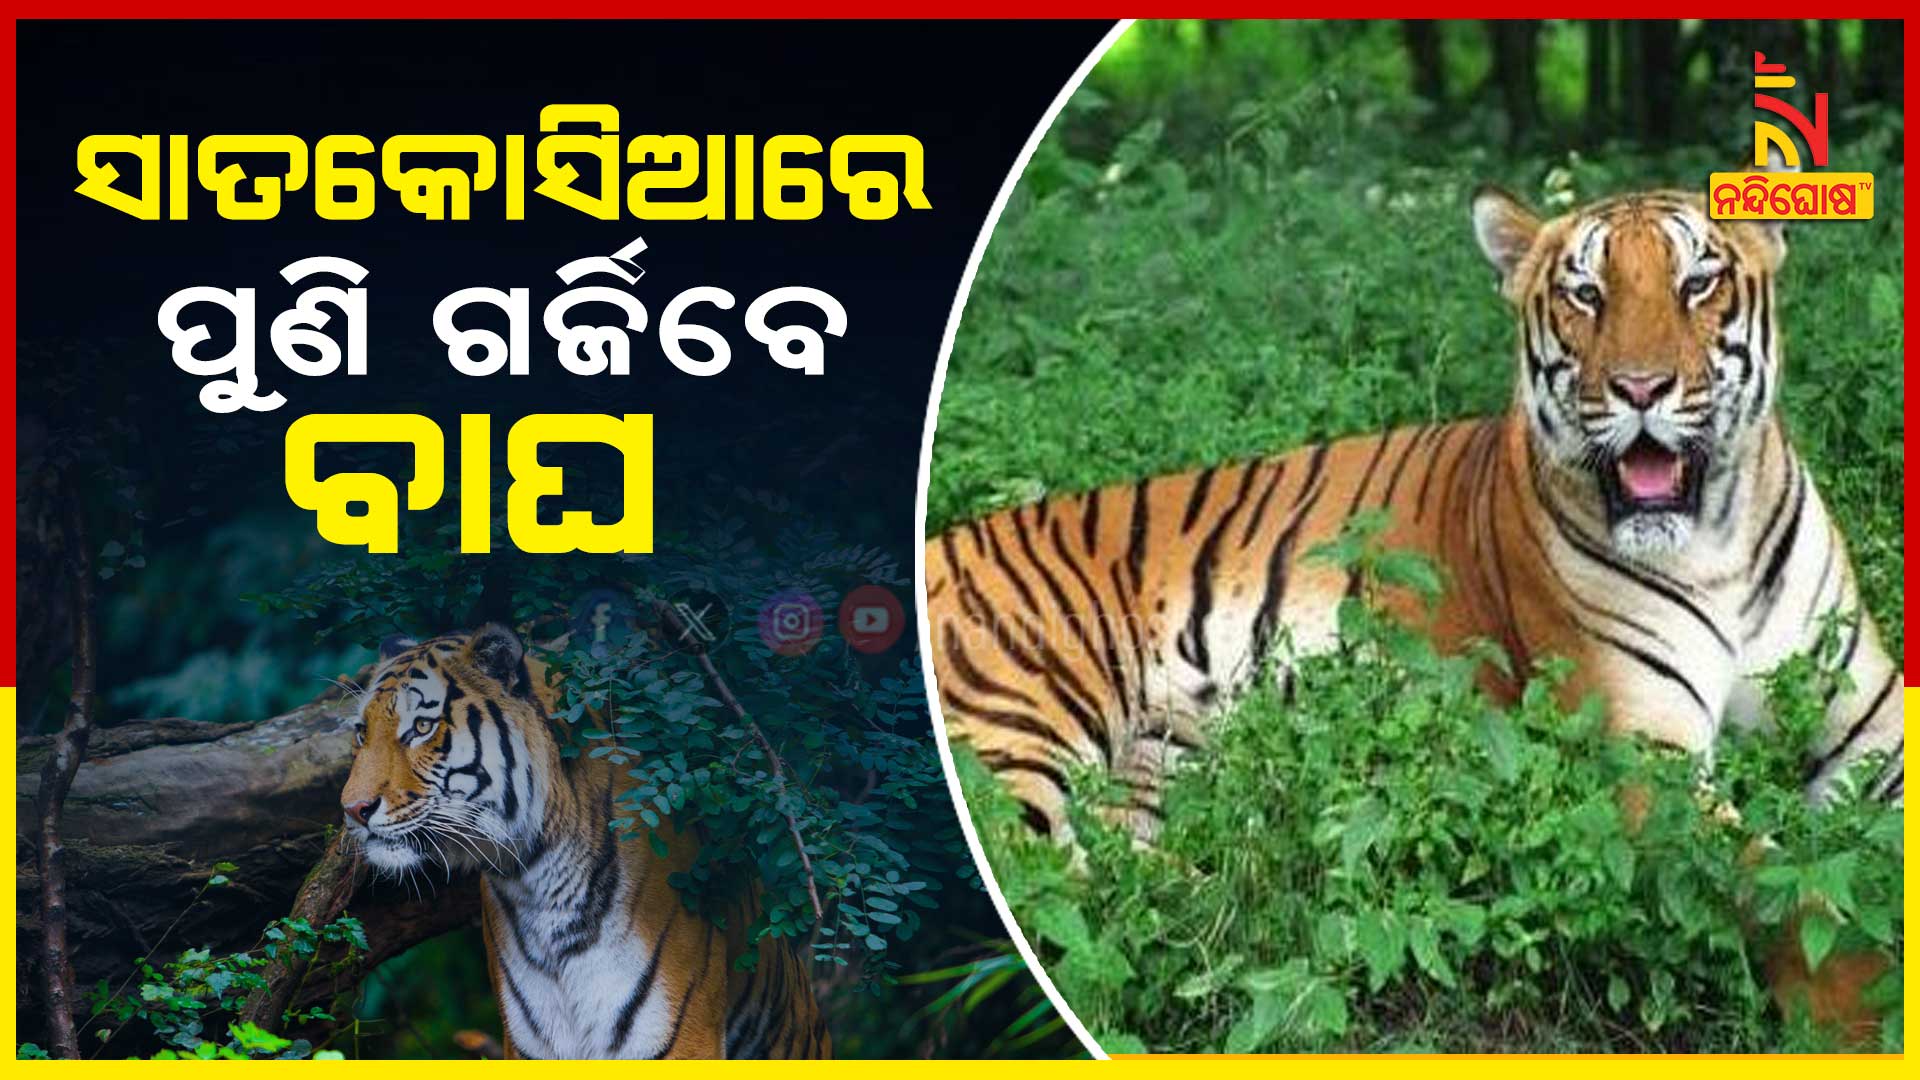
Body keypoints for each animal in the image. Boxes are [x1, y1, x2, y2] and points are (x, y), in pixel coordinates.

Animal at [338, 624, 831, 1059]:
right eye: (361, 733)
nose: (353, 809)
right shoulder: (530, 1043)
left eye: (422, 727)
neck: (535, 880)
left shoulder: (679, 1039)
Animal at [926, 184, 1903, 842]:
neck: (1716, 542)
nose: (1639, 388)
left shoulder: (1872, 725)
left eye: (1698, 282)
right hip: (1020, 722)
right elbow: (1796, 894)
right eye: (1586, 294)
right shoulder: (1642, 750)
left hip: (1155, 757)